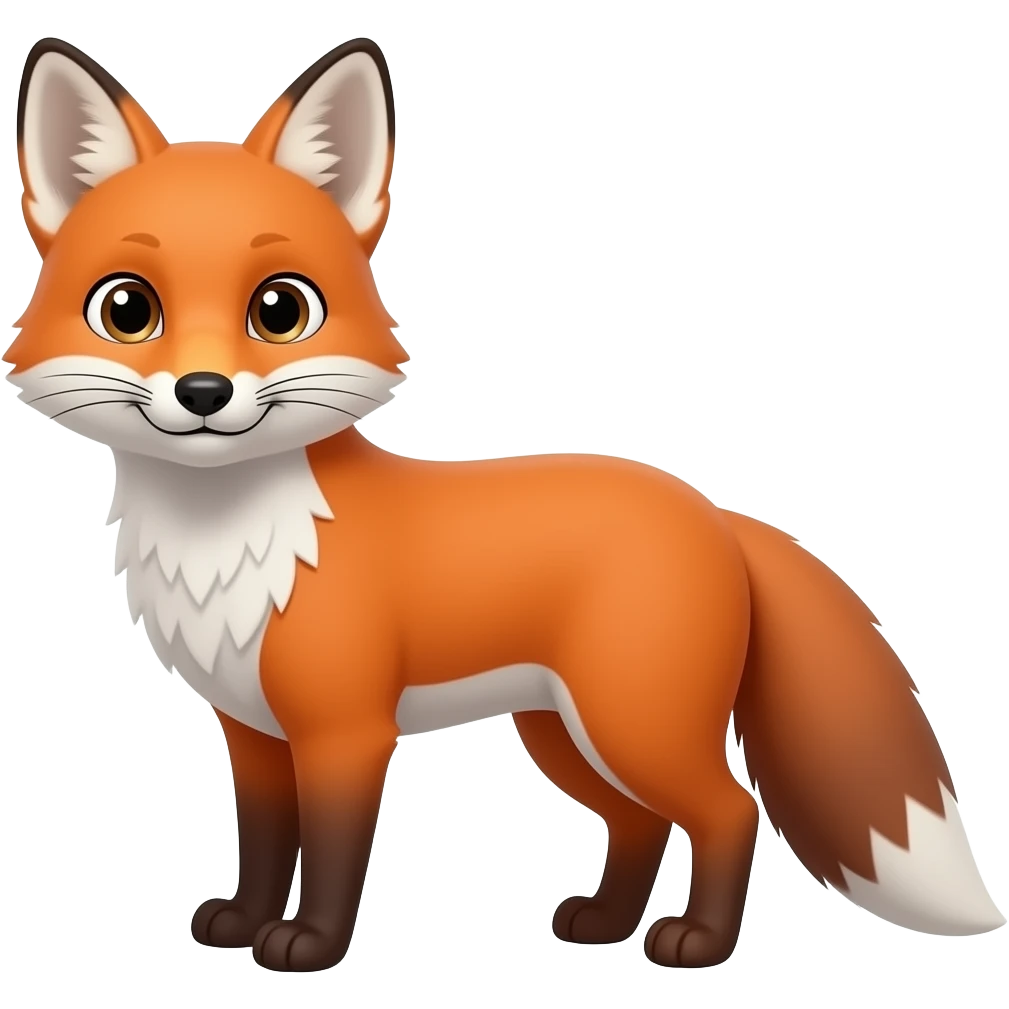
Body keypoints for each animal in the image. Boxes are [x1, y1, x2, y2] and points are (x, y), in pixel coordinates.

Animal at [8, 35, 1005, 974]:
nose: (205, 392)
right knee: (639, 822)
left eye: (280, 309)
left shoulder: (344, 731)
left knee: (730, 807)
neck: (234, 548)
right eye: (128, 310)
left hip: (631, 722)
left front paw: (309, 945)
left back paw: (697, 943)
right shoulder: (250, 731)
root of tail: (713, 510)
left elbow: (329, 853)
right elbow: (261, 843)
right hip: (564, 733)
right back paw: (604, 924)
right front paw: (242, 923)